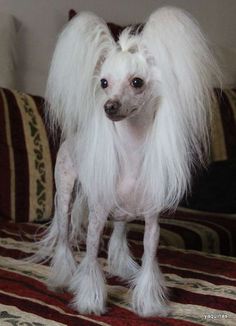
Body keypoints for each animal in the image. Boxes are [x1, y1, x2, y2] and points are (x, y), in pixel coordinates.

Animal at [34, 6, 219, 318]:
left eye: (137, 82)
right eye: (104, 83)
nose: (109, 107)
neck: (131, 151)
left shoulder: (152, 221)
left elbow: (149, 258)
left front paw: (149, 303)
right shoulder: (97, 216)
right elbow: (91, 257)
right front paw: (90, 300)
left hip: (123, 211)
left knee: (119, 234)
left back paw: (121, 267)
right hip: (65, 193)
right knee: (64, 235)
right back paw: (62, 276)